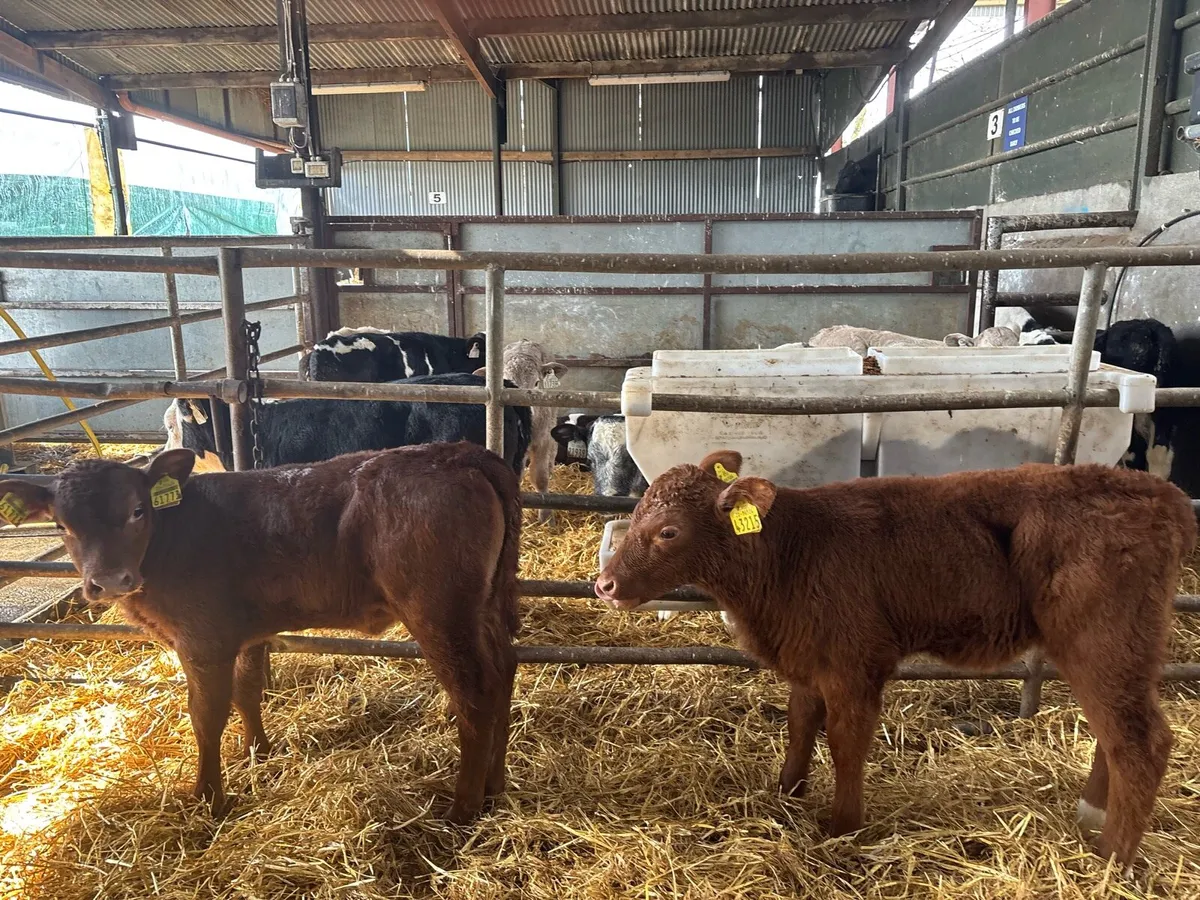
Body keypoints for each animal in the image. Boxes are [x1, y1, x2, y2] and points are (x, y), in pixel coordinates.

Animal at [0, 442, 522, 822]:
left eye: (137, 511)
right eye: (61, 525)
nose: (108, 581)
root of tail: (457, 452)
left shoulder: (203, 640)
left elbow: (206, 715)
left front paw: (208, 798)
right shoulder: (244, 635)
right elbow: (247, 692)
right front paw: (258, 754)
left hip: (439, 612)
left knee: (475, 694)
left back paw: (462, 809)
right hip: (485, 606)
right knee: (505, 673)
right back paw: (494, 789)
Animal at [594, 450, 1193, 869]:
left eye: (668, 531)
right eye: (636, 512)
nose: (604, 584)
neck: (789, 553)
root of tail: (1159, 493)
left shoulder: (855, 662)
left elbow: (846, 741)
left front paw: (842, 825)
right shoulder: (809, 656)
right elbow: (799, 724)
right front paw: (786, 792)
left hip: (1102, 639)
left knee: (1139, 741)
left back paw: (1111, 859)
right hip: (1122, 649)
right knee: (1115, 735)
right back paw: (1092, 820)